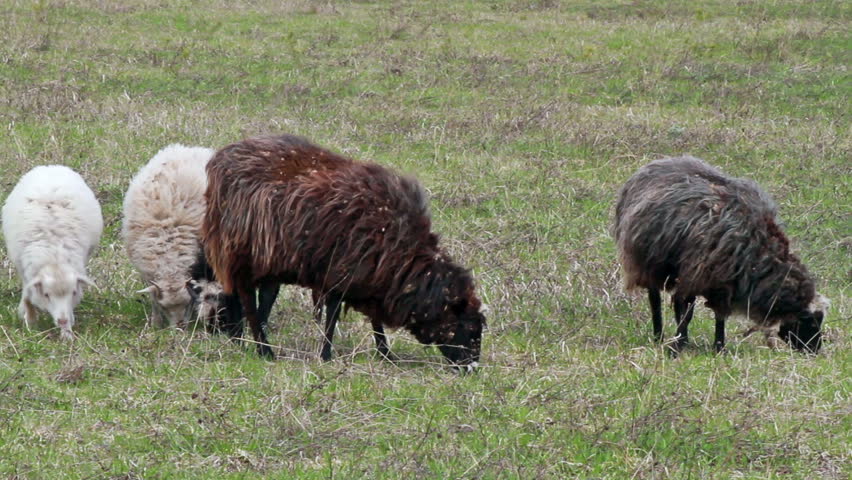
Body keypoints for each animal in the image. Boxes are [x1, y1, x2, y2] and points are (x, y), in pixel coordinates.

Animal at [2, 165, 103, 340]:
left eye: (73, 292)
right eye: (46, 294)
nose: (62, 320)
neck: (54, 256)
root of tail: (50, 167)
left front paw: (67, 334)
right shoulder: (24, 270)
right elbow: (28, 295)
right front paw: (30, 321)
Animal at [122, 144, 225, 329]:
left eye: (188, 302)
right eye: (165, 306)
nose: (180, 328)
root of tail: (189, 148)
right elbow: (153, 298)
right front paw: (156, 323)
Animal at [202, 134, 486, 368]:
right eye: (468, 326)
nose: (471, 368)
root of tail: (221, 158)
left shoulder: (371, 276)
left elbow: (375, 319)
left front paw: (385, 354)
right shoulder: (340, 272)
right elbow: (333, 316)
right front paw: (326, 355)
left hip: (270, 260)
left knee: (262, 299)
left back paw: (250, 343)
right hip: (240, 253)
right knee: (248, 300)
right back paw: (264, 350)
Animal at [613, 155, 828, 354]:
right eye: (810, 323)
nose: (815, 350)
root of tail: (657, 162)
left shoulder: (721, 283)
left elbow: (719, 316)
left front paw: (719, 347)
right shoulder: (696, 274)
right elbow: (686, 312)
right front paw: (679, 345)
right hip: (645, 262)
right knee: (655, 300)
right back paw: (659, 335)